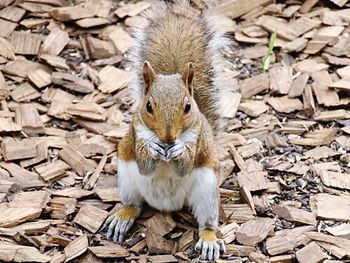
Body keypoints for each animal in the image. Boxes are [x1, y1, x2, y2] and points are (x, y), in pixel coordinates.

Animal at [104, 0, 235, 262]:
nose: (168, 137)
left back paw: (208, 240)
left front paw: (179, 150)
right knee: (134, 205)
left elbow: (185, 165)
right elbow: (145, 164)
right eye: (148, 106)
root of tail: (167, 205)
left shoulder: (197, 139)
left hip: (207, 190)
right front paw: (152, 148)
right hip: (127, 178)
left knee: (206, 222)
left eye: (188, 107)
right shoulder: (136, 134)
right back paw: (122, 218)